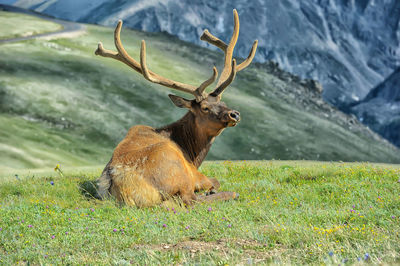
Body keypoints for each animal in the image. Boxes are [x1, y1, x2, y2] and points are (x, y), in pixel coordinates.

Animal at [96, 9, 258, 207]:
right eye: (205, 108)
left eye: (223, 102)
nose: (234, 114)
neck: (193, 154)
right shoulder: (195, 174)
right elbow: (215, 181)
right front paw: (212, 189)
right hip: (177, 172)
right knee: (191, 201)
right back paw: (228, 193)